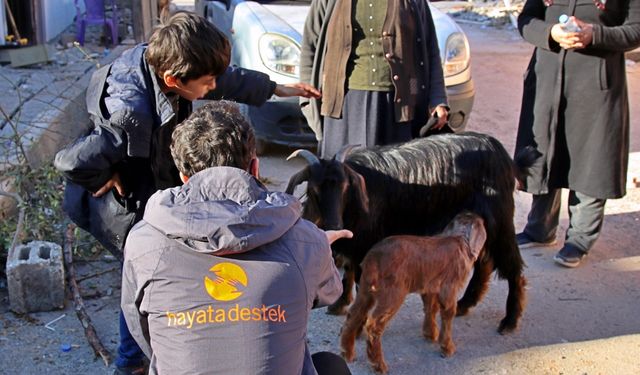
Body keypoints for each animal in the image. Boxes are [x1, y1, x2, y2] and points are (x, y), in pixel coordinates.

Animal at [288, 133, 532, 334]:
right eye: (314, 188)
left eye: (346, 186)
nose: (334, 225)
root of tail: (500, 152)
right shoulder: (355, 241)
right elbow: (348, 270)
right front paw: (339, 304)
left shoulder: (367, 242)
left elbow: (359, 280)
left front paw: (357, 325)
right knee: (485, 262)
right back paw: (464, 304)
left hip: (500, 219)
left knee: (512, 267)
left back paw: (509, 320)